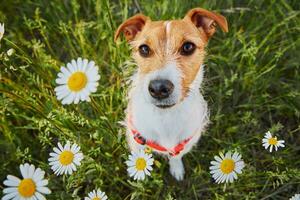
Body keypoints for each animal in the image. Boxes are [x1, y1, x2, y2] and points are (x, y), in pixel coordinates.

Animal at [115, 7, 227, 180]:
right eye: (144, 49)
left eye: (188, 47)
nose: (158, 88)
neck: (166, 117)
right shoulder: (136, 142)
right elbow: (139, 157)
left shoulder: (184, 143)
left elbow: (176, 156)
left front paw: (176, 169)